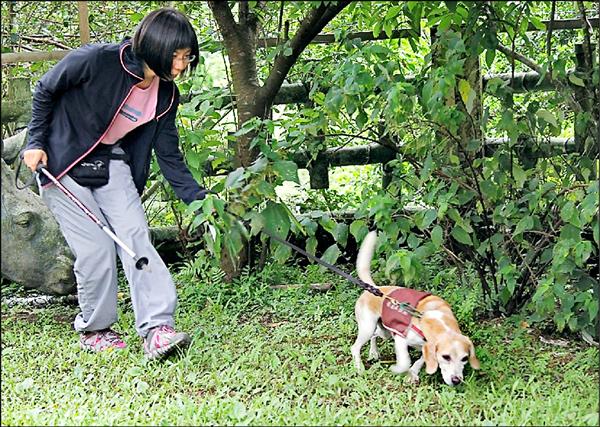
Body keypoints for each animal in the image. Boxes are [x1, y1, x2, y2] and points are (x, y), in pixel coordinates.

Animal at [350, 232, 480, 386]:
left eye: (465, 358)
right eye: (446, 357)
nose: (456, 380)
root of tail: (375, 288)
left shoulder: (426, 347)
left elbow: (421, 359)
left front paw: (413, 373)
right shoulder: (401, 339)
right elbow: (405, 362)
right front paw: (399, 370)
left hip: (384, 331)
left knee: (375, 336)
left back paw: (373, 352)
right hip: (368, 327)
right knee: (356, 347)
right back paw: (359, 368)